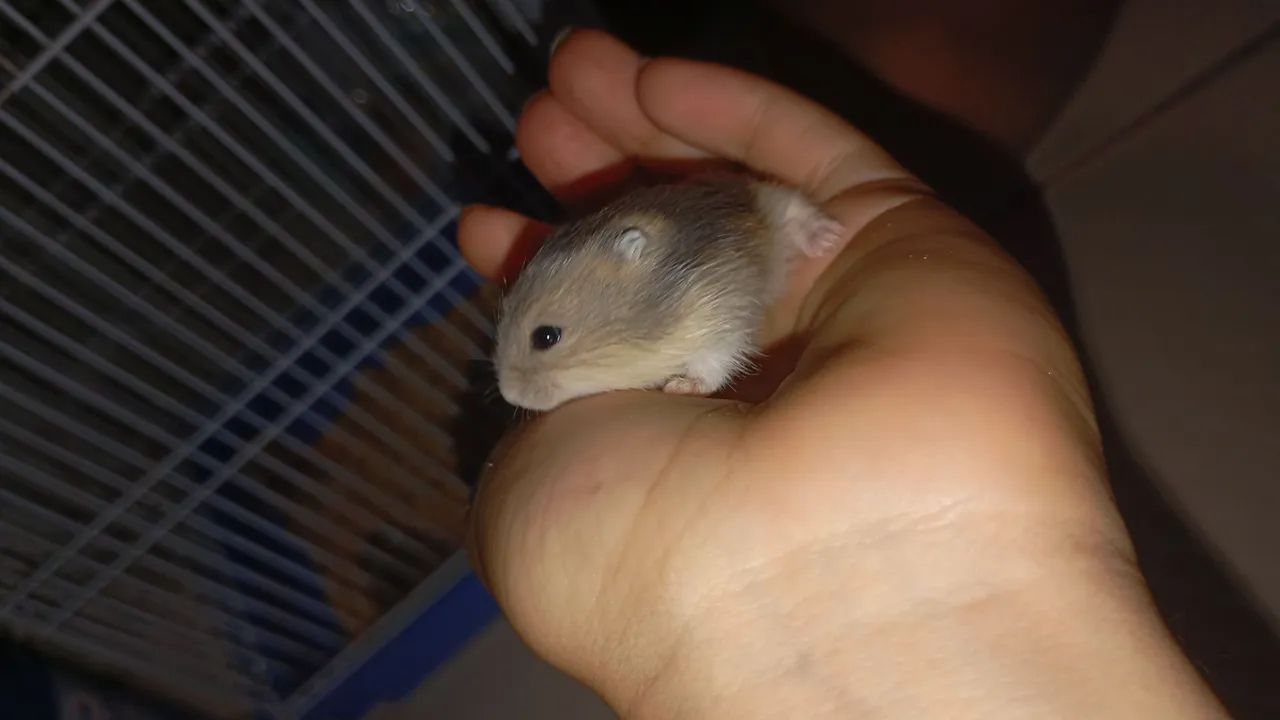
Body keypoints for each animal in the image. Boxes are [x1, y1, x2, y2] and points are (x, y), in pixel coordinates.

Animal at [494, 173, 845, 411]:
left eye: (546, 337)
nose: (508, 394)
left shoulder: (718, 314)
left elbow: (713, 364)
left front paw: (679, 387)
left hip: (767, 205)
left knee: (790, 204)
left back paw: (829, 237)